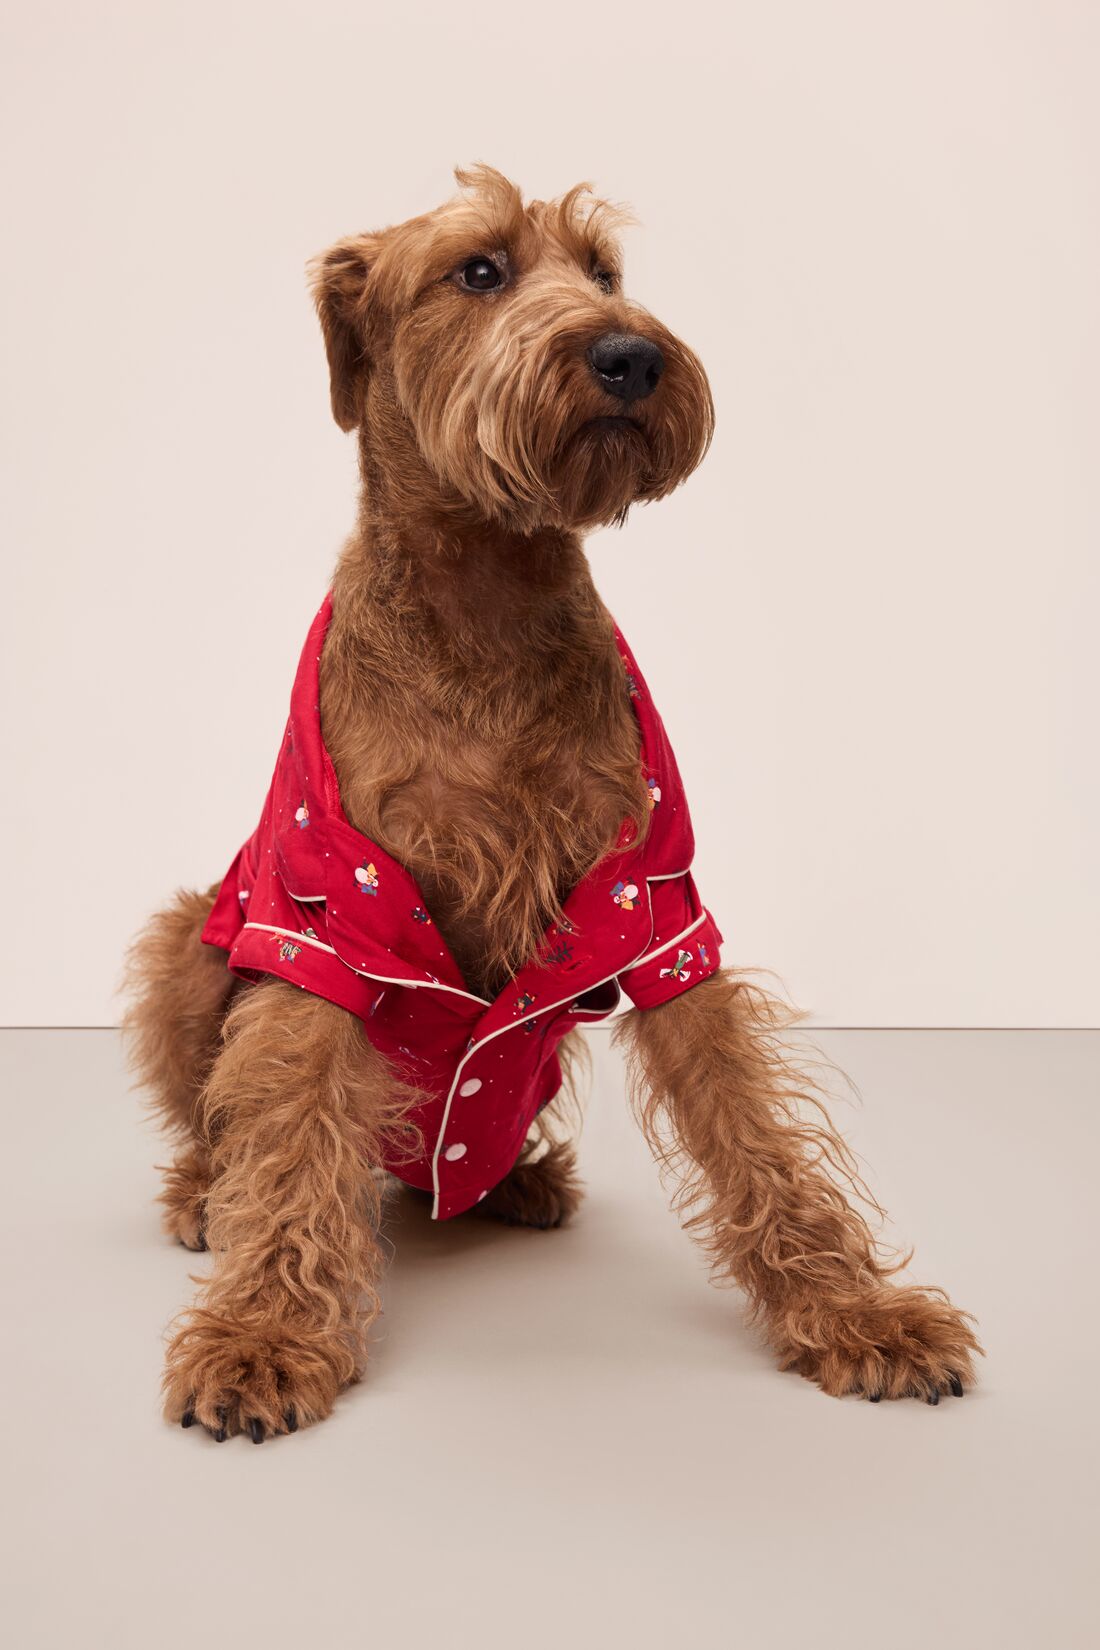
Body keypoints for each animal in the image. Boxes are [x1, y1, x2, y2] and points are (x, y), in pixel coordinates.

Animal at [122, 160, 982, 1438]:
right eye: (478, 269)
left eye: (604, 272)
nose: (630, 353)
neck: (490, 594)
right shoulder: (324, 919)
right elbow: (289, 1119)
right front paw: (263, 1335)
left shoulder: (655, 905)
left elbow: (749, 1121)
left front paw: (853, 1313)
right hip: (188, 934)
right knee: (222, 1121)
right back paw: (199, 1193)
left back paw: (515, 1178)